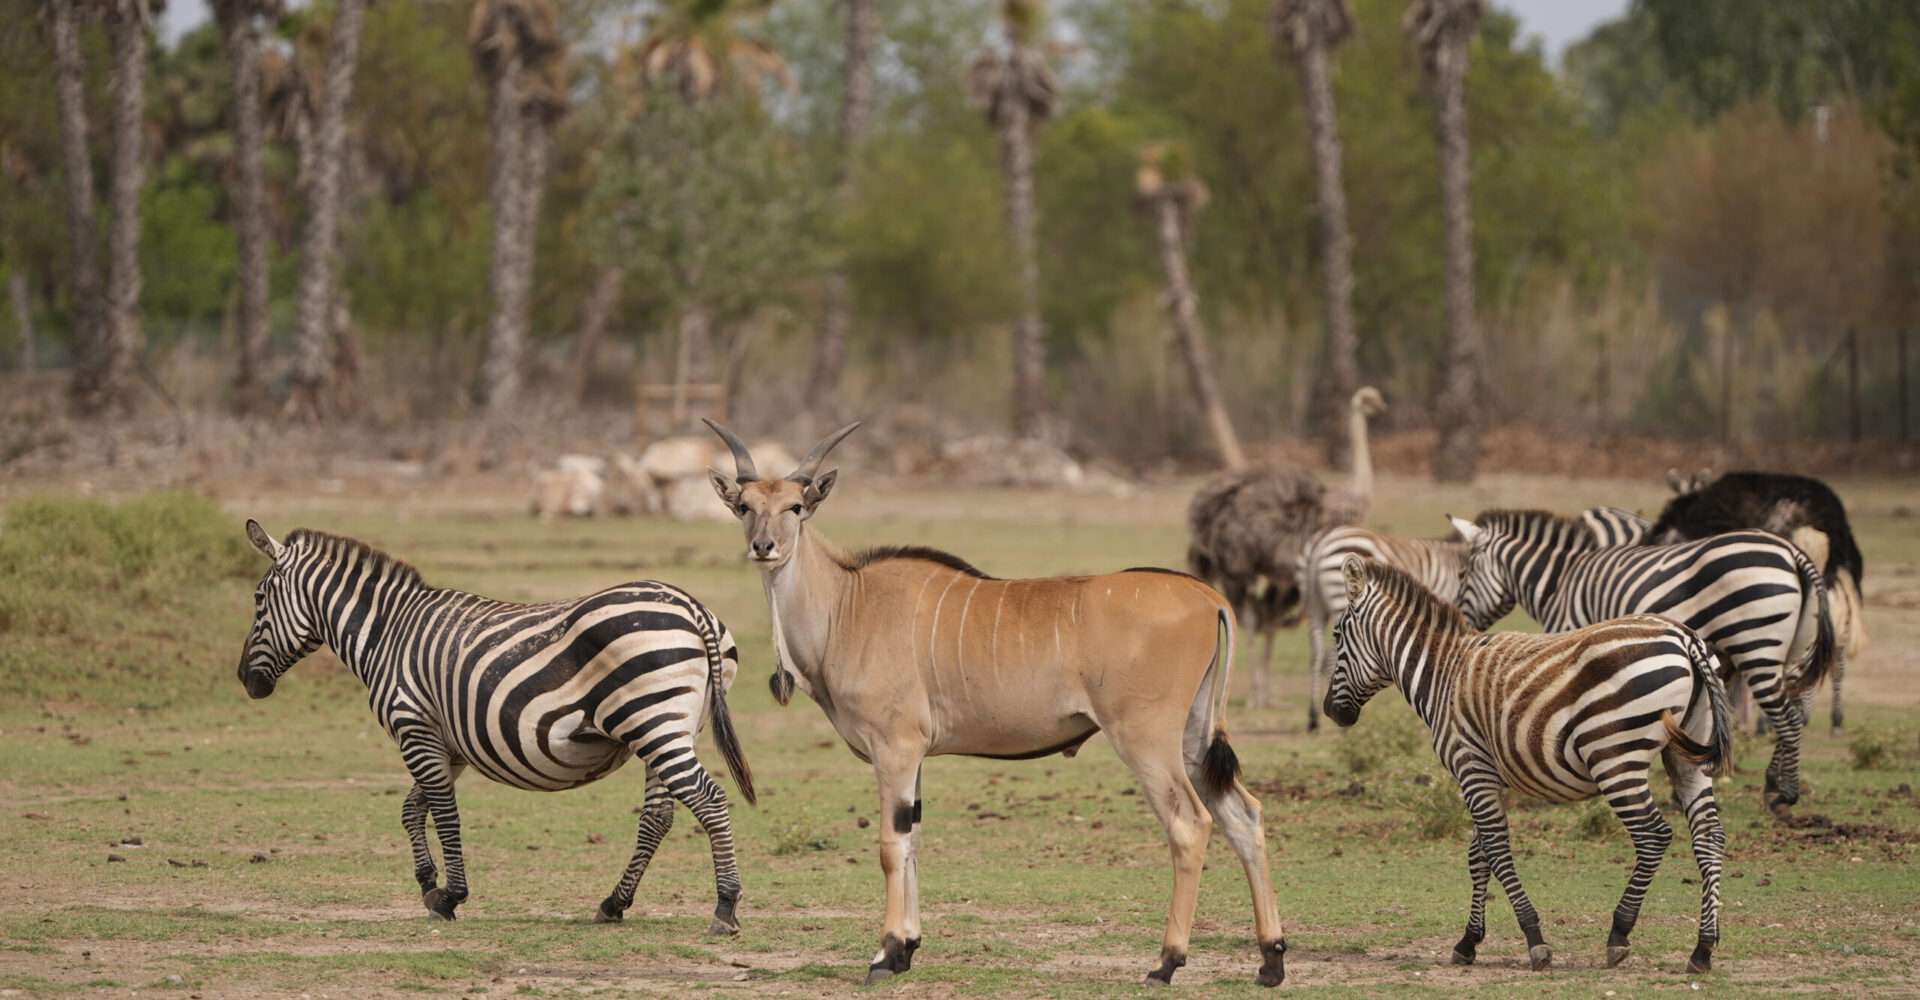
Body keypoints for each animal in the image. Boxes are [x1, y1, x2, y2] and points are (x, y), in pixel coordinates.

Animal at [234, 518, 756, 932]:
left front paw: (450, 896)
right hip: (670, 727)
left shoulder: (413, 724)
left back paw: (725, 908)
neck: (387, 633)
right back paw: (613, 904)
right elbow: (412, 808)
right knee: (659, 815)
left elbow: (443, 812)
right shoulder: (447, 742)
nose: (245, 681)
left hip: (653, 722)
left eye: (258, 598)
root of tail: (692, 606)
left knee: (708, 800)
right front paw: (428, 883)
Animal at [706, 416, 1290, 982]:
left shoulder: (895, 749)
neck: (849, 604)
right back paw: (1271, 960)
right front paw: (907, 950)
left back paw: (1166, 963)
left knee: (1190, 825)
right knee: (1244, 814)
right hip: (1193, 737)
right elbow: (913, 838)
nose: (764, 547)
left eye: (795, 506)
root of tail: (1209, 597)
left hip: (1146, 740)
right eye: (745, 506)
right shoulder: (914, 757)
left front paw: (884, 955)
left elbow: (892, 847)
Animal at [1328, 548, 1735, 971]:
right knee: (1709, 835)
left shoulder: (1470, 765)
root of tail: (1684, 637)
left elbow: (1494, 848)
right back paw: (1703, 947)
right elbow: (1477, 854)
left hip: (1614, 756)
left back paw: (1619, 934)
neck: (1443, 674)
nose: (1331, 712)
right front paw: (1469, 941)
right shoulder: (1488, 774)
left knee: (1653, 835)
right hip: (1687, 754)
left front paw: (1534, 939)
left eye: (1336, 636)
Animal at [1443, 510, 1835, 813]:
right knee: (1797, 708)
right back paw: (1773, 783)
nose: (1459, 620)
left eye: (1463, 574)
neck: (1558, 585)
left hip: (1756, 644)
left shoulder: (1571, 641)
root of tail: (1792, 551)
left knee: (1786, 717)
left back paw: (1784, 794)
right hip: (1790, 650)